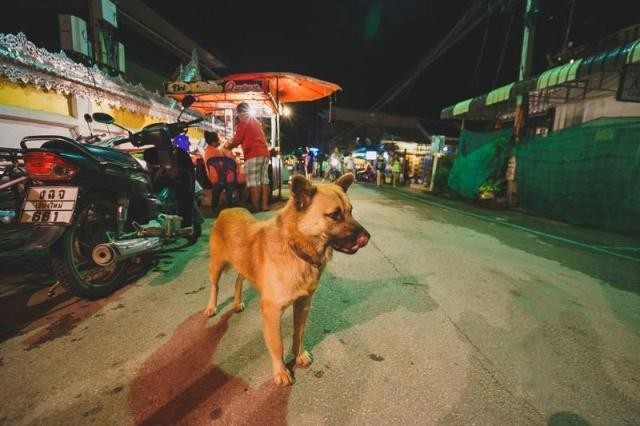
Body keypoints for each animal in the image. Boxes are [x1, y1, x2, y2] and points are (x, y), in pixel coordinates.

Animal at [205, 173, 370, 386]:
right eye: (335, 215)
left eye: (351, 211)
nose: (367, 237)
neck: (295, 248)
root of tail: (228, 209)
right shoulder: (272, 311)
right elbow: (277, 345)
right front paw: (281, 371)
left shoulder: (303, 303)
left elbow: (299, 332)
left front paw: (299, 355)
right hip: (216, 266)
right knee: (215, 286)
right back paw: (211, 307)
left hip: (242, 264)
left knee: (239, 280)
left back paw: (238, 302)